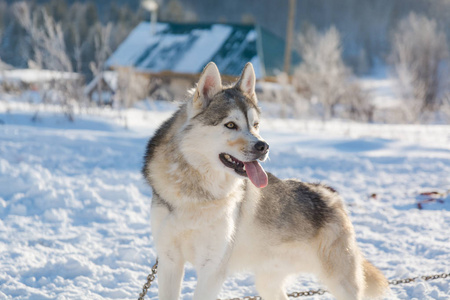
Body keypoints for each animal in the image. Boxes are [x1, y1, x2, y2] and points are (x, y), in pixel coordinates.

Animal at [142, 62, 388, 298]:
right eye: (230, 125)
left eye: (255, 125)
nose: (264, 146)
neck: (195, 194)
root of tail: (330, 193)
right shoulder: (169, 261)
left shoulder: (212, 269)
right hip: (268, 283)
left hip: (341, 283)